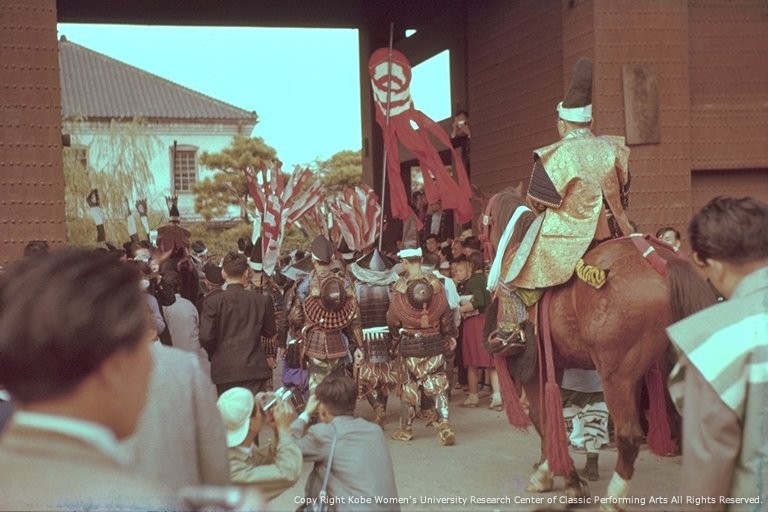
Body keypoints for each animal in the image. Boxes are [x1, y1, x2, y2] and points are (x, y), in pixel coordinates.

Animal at [483, 187, 717, 511]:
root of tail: (665, 263)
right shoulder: (557, 363)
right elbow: (551, 418)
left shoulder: (533, 366)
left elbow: (542, 417)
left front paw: (561, 479)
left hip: (617, 376)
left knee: (629, 435)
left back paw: (613, 497)